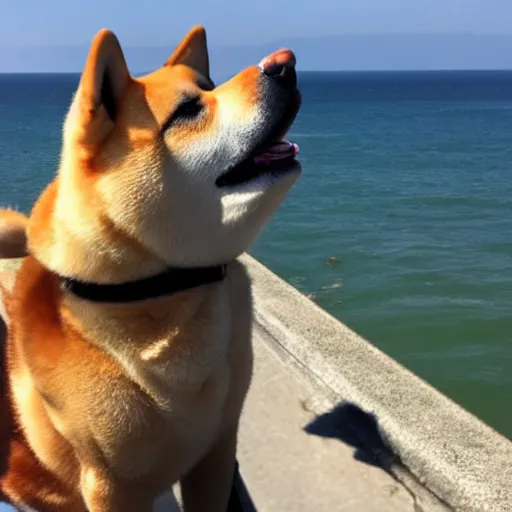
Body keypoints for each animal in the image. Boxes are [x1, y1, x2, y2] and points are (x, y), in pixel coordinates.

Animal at [0, 26, 300, 512]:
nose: (285, 61)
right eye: (187, 110)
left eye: (209, 86)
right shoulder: (111, 486)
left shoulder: (217, 450)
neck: (159, 291)